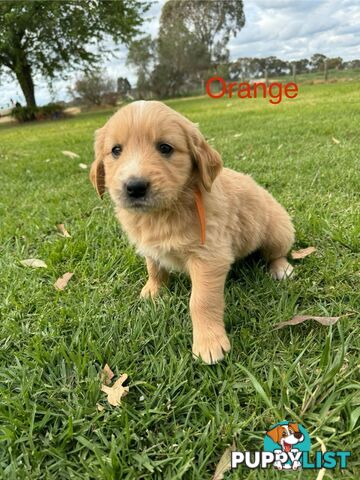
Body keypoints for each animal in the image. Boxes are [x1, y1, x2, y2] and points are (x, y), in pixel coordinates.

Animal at [90, 100, 296, 364]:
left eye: (165, 148)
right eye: (116, 150)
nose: (134, 187)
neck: (163, 212)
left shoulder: (209, 256)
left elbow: (201, 301)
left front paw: (209, 343)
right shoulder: (150, 246)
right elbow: (154, 267)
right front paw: (153, 290)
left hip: (277, 230)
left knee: (277, 252)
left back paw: (281, 268)